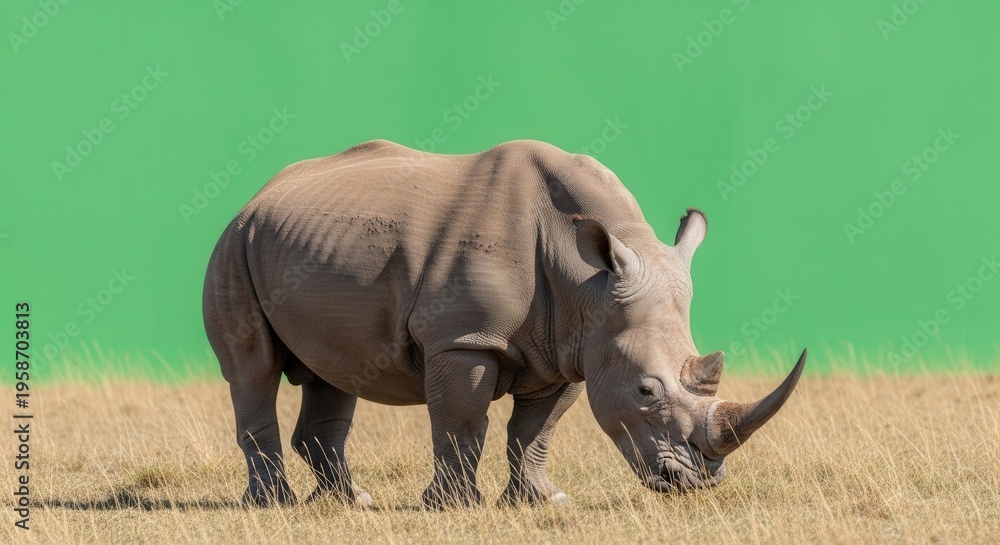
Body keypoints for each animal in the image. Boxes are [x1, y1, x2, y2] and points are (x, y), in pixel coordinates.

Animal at [202, 139, 806, 508]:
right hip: (234, 246)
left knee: (334, 373)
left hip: (303, 243)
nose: (695, 482)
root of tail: (257, 196)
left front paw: (541, 500)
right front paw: (453, 507)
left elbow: (536, 430)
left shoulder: (572, 345)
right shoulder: (465, 339)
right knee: (253, 371)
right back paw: (273, 504)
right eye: (645, 390)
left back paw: (349, 502)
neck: (587, 281)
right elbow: (463, 422)